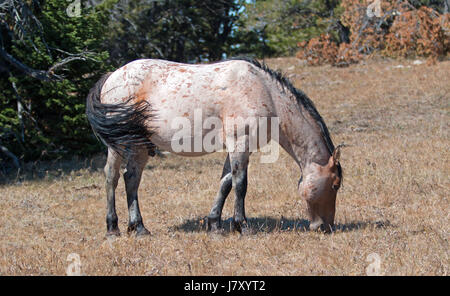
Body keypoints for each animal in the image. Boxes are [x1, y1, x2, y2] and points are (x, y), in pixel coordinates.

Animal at [86, 57, 342, 237]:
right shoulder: (240, 143)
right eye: (335, 185)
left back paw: (137, 228)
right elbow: (240, 184)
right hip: (120, 144)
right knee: (112, 177)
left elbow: (225, 183)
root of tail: (112, 76)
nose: (326, 226)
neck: (263, 92)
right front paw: (242, 225)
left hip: (138, 146)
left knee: (130, 178)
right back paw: (114, 228)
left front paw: (215, 224)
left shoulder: (238, 147)